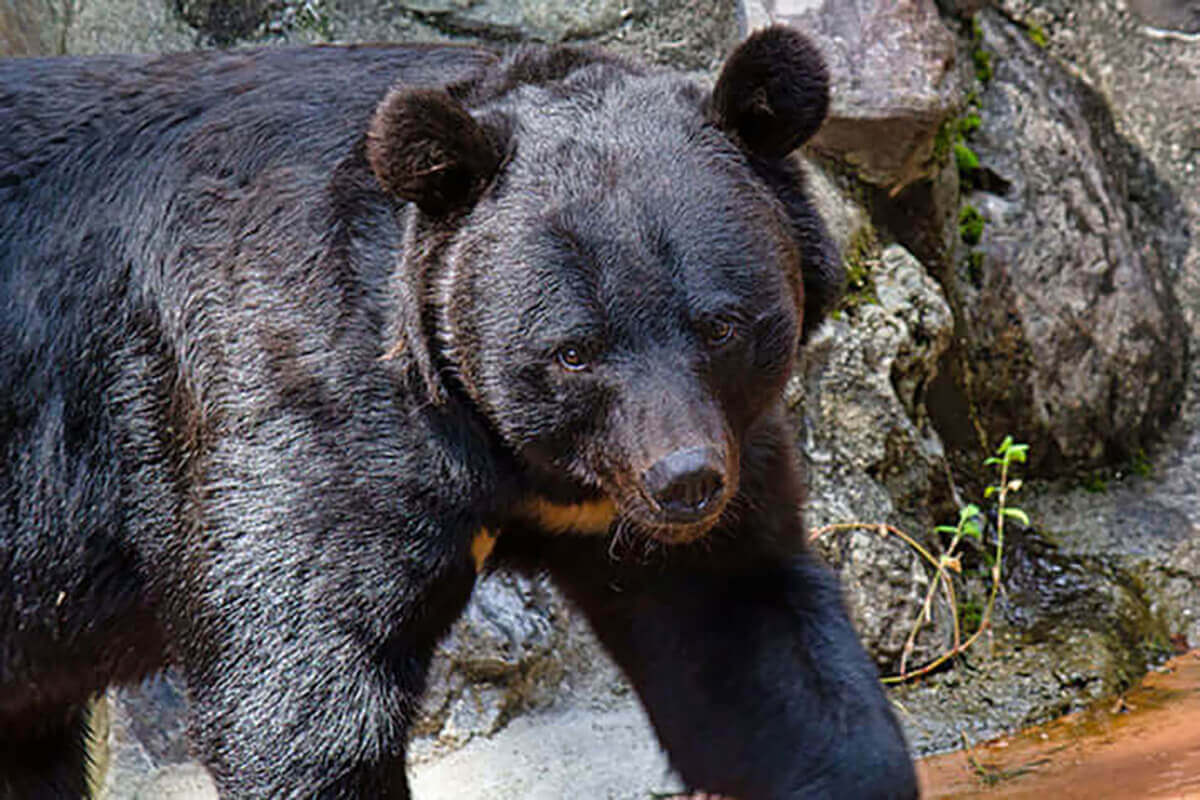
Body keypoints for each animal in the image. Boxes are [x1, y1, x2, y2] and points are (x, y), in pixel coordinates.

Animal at [2, 26, 916, 800]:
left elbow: (748, 646)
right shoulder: (285, 397)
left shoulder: (709, 460)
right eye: (573, 351)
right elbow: (299, 692)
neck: (512, 454)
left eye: (721, 325)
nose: (684, 483)